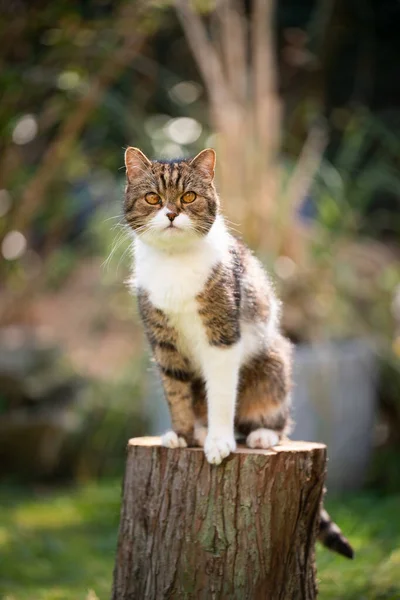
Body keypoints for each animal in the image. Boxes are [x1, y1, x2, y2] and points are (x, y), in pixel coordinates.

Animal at [122, 146, 354, 556]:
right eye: (152, 198)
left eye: (188, 197)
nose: (171, 213)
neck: (173, 263)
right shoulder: (163, 342)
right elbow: (175, 390)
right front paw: (182, 434)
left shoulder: (222, 335)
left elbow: (221, 396)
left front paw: (219, 442)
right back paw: (198, 431)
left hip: (274, 362)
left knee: (277, 420)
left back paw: (260, 436)